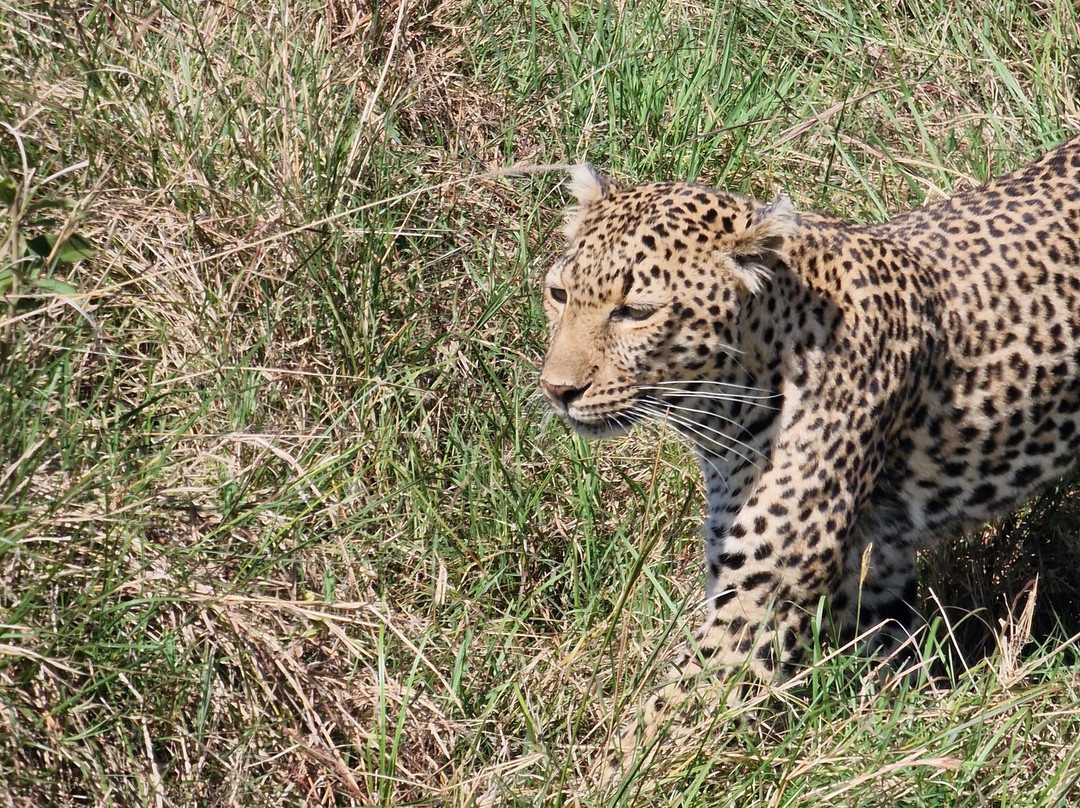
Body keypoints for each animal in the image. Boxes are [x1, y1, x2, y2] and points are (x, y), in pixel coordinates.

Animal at [538, 136, 1080, 783]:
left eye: (636, 311)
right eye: (559, 294)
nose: (557, 390)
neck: (727, 408)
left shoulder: (761, 600)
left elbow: (662, 722)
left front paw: (590, 777)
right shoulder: (871, 570)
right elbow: (883, 652)